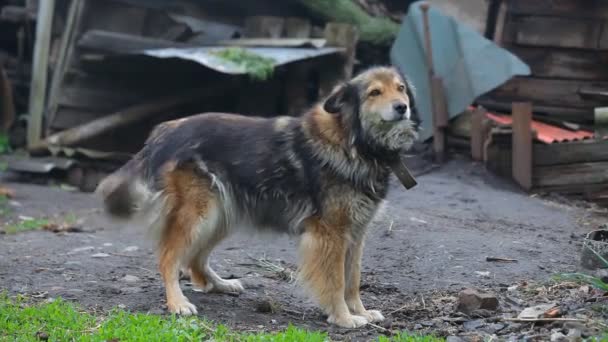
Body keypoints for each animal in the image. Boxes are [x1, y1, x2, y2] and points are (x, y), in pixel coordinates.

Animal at [96, 65, 418, 328]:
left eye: (400, 88)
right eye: (374, 92)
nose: (402, 107)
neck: (355, 140)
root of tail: (164, 130)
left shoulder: (356, 232)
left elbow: (353, 279)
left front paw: (360, 311)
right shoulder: (331, 234)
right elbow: (337, 281)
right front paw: (343, 317)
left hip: (222, 214)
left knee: (195, 260)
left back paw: (220, 284)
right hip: (199, 213)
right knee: (168, 258)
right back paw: (177, 303)